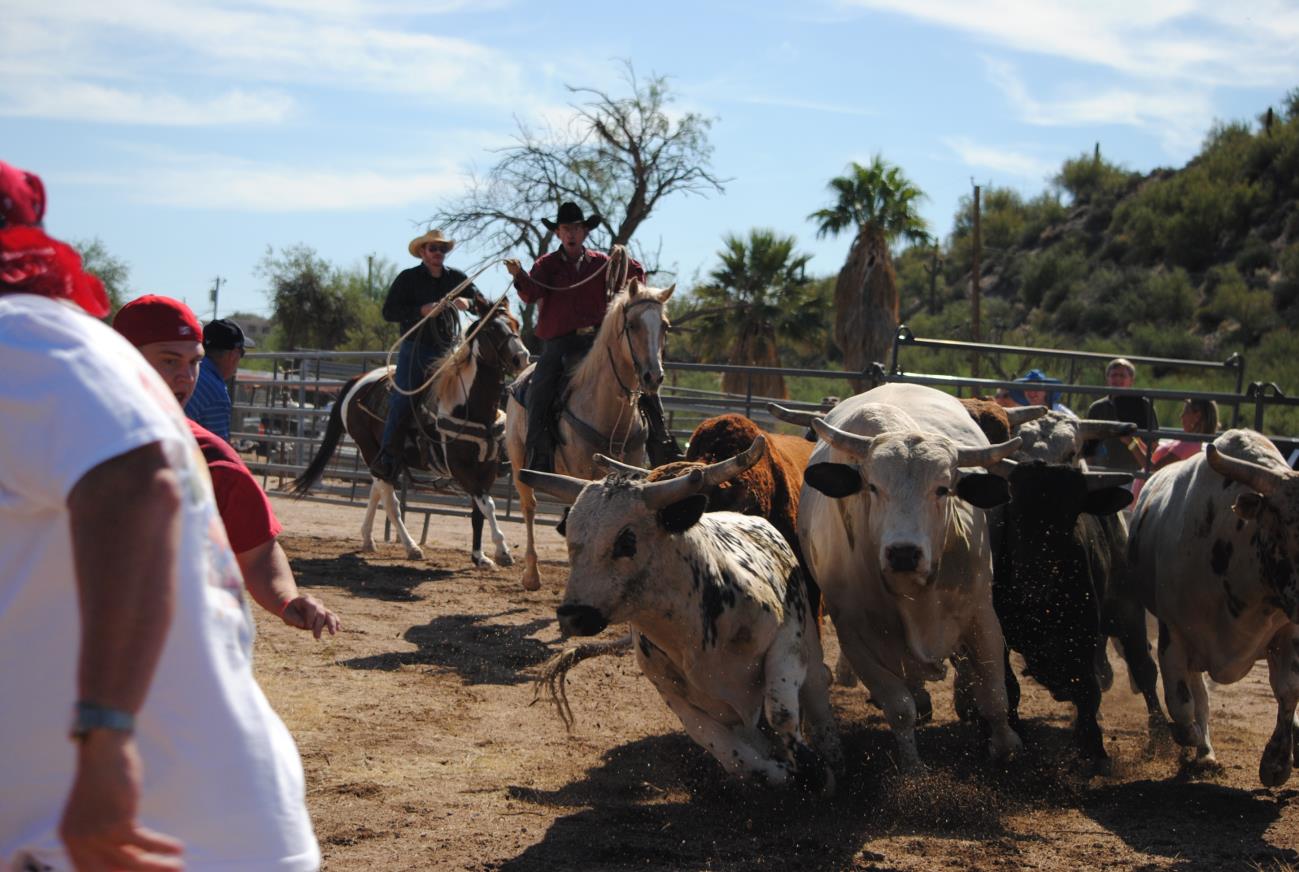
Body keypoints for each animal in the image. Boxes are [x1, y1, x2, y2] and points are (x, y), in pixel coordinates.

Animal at [296, 304, 532, 569]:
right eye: (492, 329)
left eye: (516, 324)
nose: (522, 357)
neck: (468, 404)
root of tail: (359, 380)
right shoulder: (461, 469)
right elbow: (488, 505)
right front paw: (502, 551)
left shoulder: (486, 467)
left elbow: (479, 512)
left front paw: (480, 556)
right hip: (369, 448)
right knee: (390, 501)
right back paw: (411, 547)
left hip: (391, 458)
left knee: (377, 490)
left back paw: (368, 538)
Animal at [501, 279, 675, 592]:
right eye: (632, 324)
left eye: (665, 326)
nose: (653, 377)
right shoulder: (582, 471)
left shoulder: (630, 464)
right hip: (520, 460)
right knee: (529, 507)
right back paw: (532, 575)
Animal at [519, 436, 841, 790]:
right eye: (570, 535)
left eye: (626, 539)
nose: (573, 615)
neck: (690, 631)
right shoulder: (674, 694)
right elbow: (731, 753)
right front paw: (778, 771)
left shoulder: (786, 638)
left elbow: (781, 712)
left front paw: (814, 768)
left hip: (809, 642)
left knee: (817, 692)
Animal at [789, 384, 1023, 774]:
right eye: (872, 486)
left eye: (943, 488)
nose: (902, 553)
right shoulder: (856, 635)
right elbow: (899, 708)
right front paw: (913, 770)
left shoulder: (982, 615)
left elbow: (993, 694)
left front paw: (1006, 748)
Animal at [1127, 428, 1299, 784]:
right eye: (1287, 526)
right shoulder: (1175, 635)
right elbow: (1182, 703)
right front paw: (1190, 738)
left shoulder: (1288, 630)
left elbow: (1289, 689)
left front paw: (1276, 762)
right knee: (1198, 697)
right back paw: (1204, 752)